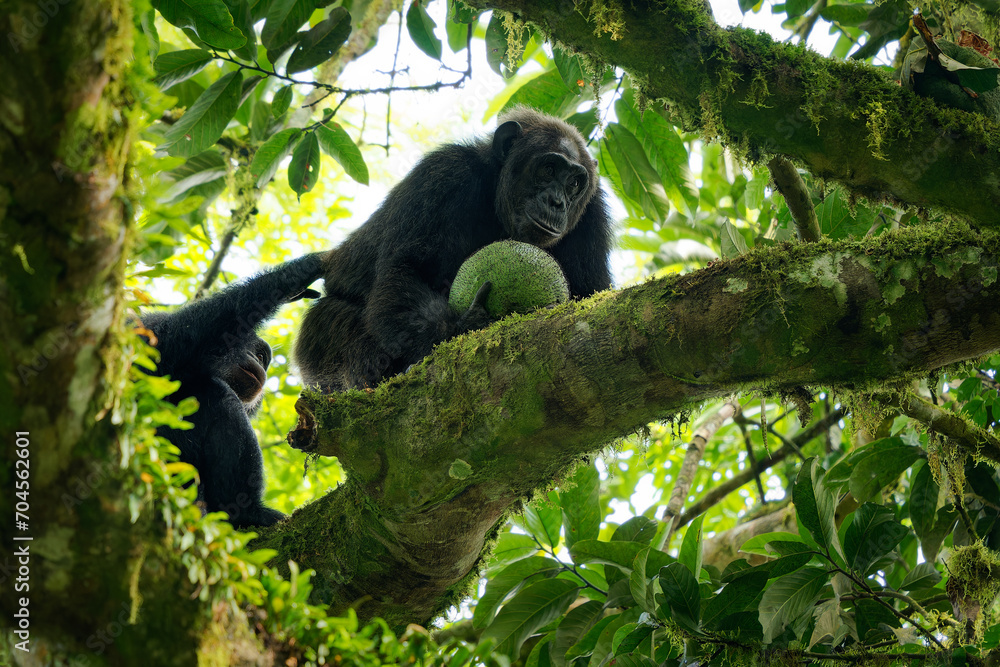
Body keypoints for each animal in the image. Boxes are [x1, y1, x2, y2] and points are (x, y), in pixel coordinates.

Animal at [141, 253, 324, 528]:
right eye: (260, 354)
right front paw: (299, 273)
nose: (261, 364)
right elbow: (174, 338)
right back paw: (249, 512)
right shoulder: (152, 327)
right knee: (217, 394)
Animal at [292, 108, 612, 392]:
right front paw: (468, 324)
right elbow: (409, 270)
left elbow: (590, 294)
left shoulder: (593, 216)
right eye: (548, 169)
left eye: (573, 183)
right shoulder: (442, 175)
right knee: (326, 317)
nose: (557, 202)